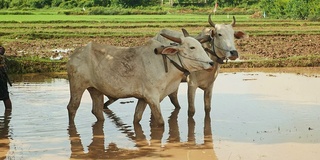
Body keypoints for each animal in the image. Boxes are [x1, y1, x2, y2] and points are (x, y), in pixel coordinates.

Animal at [66, 29, 214, 126]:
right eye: (192, 47)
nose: (211, 63)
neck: (167, 62)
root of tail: (75, 53)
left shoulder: (143, 99)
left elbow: (136, 118)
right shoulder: (152, 98)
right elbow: (160, 122)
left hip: (95, 89)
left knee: (97, 111)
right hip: (77, 86)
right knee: (72, 108)